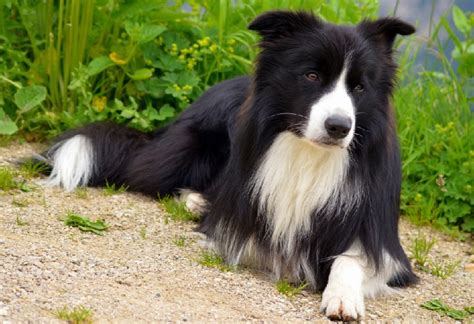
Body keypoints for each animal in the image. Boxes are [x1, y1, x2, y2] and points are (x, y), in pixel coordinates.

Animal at [39, 10, 414, 322]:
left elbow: (350, 260)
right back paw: (194, 200)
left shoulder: (386, 245)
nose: (339, 127)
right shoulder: (240, 222)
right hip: (189, 148)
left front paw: (342, 297)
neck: (308, 155)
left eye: (359, 87)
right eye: (311, 75)